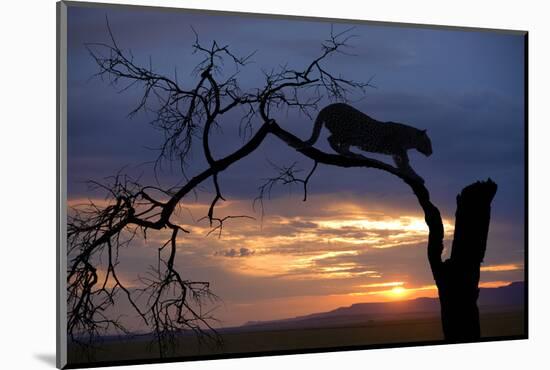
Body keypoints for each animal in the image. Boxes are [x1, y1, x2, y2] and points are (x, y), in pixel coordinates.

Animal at [304, 102, 434, 181]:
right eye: (428, 143)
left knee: (343, 145)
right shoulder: (397, 148)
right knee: (331, 139)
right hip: (349, 132)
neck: (410, 138)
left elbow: (402, 163)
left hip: (351, 138)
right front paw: (413, 175)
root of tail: (329, 106)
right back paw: (344, 152)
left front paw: (411, 174)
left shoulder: (396, 153)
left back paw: (353, 154)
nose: (432, 152)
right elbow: (406, 161)